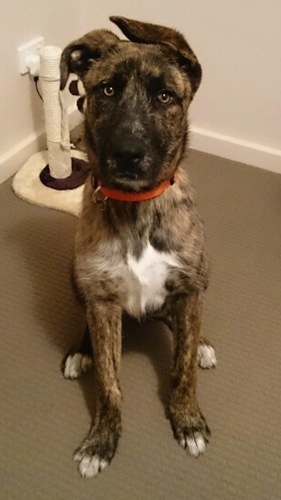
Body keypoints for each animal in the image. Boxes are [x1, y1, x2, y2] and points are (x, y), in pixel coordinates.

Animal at [60, 15, 215, 478]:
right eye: (107, 90)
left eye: (166, 96)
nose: (128, 154)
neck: (137, 207)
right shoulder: (102, 302)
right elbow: (109, 384)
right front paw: (100, 442)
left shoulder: (188, 287)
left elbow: (183, 369)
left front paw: (188, 420)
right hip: (78, 281)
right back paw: (80, 352)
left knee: (185, 326)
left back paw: (200, 343)